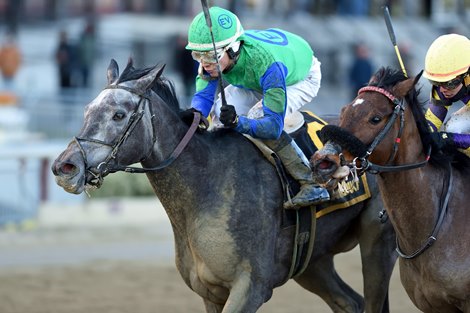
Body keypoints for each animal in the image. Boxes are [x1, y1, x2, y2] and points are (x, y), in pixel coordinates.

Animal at [51, 59, 396, 312]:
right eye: (87, 110)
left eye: (119, 115)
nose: (65, 167)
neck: (209, 184)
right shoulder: (210, 292)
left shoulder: (250, 287)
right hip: (313, 261)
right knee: (351, 302)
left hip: (378, 240)